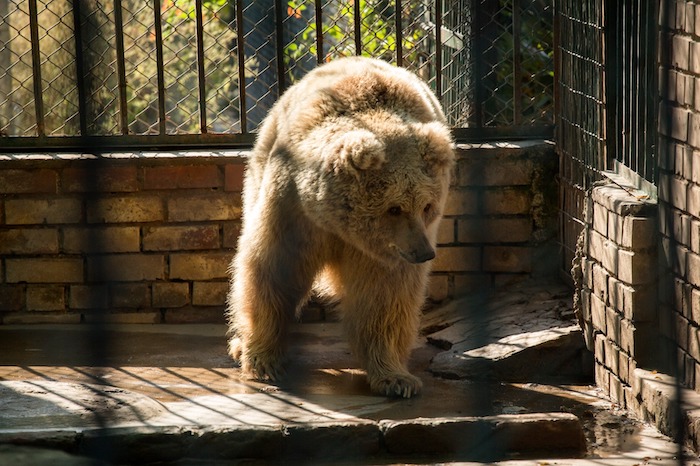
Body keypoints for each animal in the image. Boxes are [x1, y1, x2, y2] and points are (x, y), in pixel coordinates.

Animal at [224, 54, 454, 396]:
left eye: (427, 206)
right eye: (394, 208)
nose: (424, 253)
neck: (336, 223)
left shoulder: (385, 252)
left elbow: (384, 296)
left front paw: (396, 378)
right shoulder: (293, 209)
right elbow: (273, 270)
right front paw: (263, 360)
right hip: (259, 167)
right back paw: (239, 345)